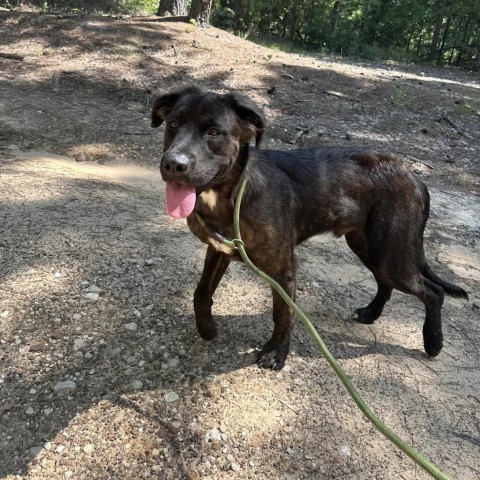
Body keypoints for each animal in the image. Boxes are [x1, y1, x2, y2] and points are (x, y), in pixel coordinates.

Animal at [151, 87, 468, 372]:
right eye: (173, 124)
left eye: (214, 132)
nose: (173, 165)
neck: (232, 194)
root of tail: (414, 177)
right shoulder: (218, 249)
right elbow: (200, 292)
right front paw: (207, 328)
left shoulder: (283, 269)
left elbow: (283, 314)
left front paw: (276, 353)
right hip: (368, 246)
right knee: (385, 282)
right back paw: (371, 313)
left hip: (391, 254)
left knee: (433, 292)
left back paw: (433, 342)